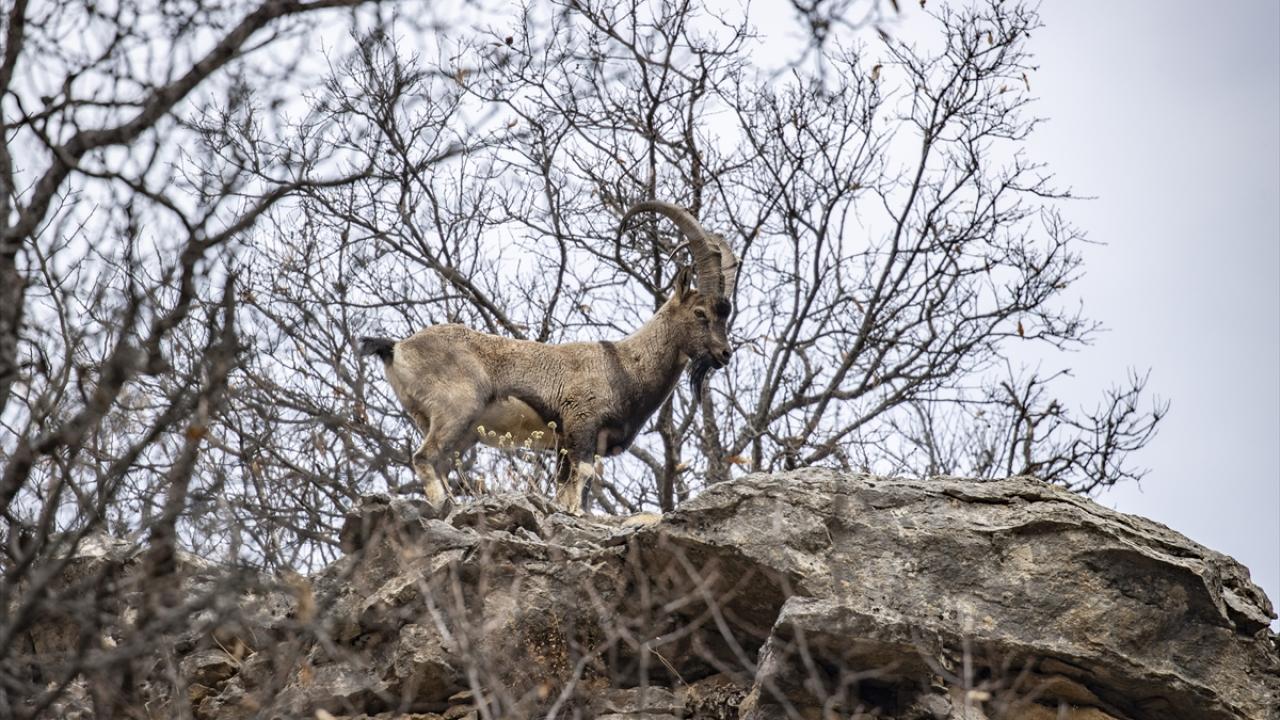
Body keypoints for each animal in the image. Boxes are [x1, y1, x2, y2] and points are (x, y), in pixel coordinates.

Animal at [359, 201, 739, 513]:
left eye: (726, 314)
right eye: (700, 313)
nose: (724, 354)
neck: (625, 363)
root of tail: (397, 347)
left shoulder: (566, 445)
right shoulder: (580, 427)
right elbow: (577, 486)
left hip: (452, 428)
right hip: (456, 409)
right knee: (424, 457)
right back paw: (444, 506)